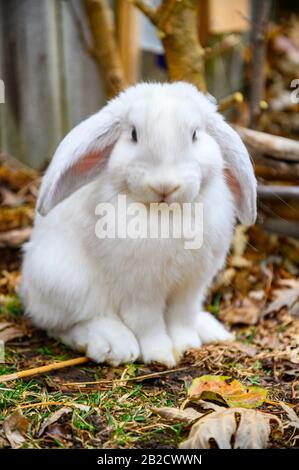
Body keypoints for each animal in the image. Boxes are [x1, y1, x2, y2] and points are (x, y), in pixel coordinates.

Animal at [20, 81, 258, 368]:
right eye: (133, 134)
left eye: (194, 135)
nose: (165, 185)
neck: (165, 213)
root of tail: (27, 290)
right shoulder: (140, 291)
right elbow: (148, 325)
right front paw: (161, 355)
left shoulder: (190, 286)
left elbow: (182, 318)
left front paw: (188, 345)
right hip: (64, 282)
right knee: (63, 324)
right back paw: (113, 344)